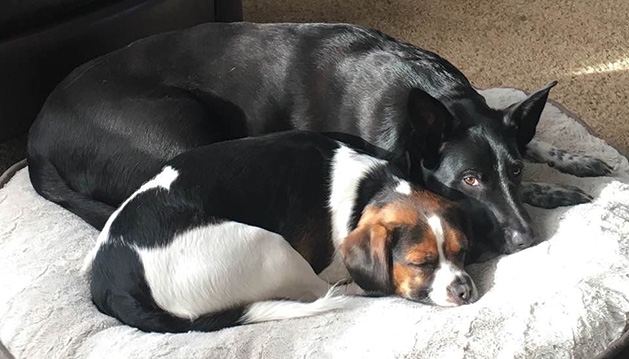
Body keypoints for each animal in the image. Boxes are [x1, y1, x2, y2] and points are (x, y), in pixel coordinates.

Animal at [27, 22, 612, 255]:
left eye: (510, 170)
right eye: (467, 180)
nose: (527, 240)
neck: (432, 94)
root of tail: (35, 138)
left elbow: (533, 143)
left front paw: (567, 165)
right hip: (182, 130)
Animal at [82, 131, 476, 334]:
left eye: (463, 250)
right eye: (421, 263)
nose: (466, 290)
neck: (371, 187)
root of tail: (113, 283)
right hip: (270, 247)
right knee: (323, 292)